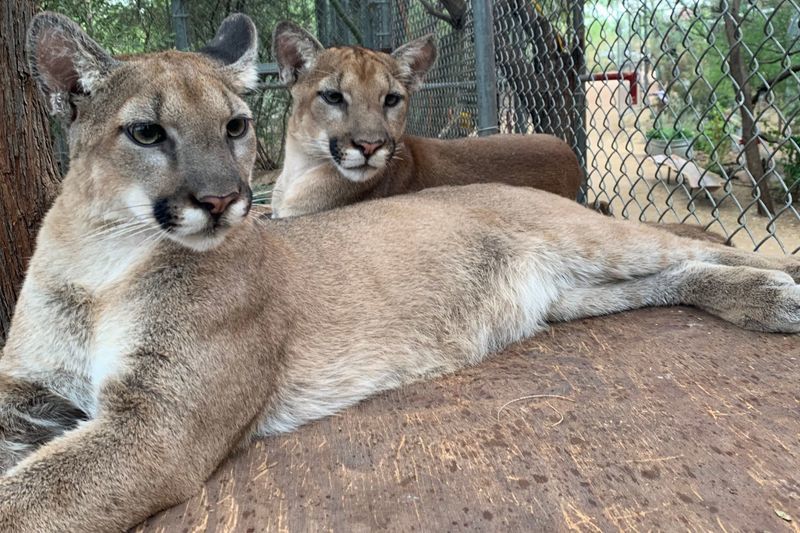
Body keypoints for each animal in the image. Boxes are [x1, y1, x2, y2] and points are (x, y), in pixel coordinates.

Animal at [0, 12, 796, 532]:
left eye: (235, 125)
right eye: (145, 132)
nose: (226, 199)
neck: (99, 261)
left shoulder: (159, 424)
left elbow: (28, 498)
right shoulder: (31, 387)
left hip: (597, 240)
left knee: (705, 246)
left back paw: (780, 287)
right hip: (569, 294)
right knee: (668, 279)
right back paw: (761, 300)